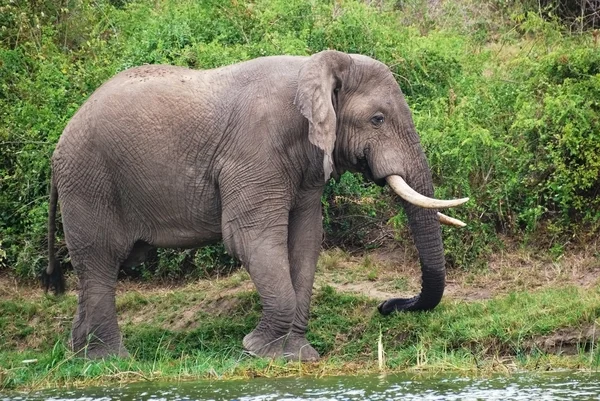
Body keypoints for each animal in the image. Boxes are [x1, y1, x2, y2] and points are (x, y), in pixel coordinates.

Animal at [47, 49, 468, 360]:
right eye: (378, 119)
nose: (386, 306)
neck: (316, 67)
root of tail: (61, 140)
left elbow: (305, 240)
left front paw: (297, 356)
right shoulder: (255, 149)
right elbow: (251, 237)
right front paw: (258, 351)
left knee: (94, 269)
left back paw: (78, 356)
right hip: (89, 181)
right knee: (101, 261)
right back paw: (109, 360)